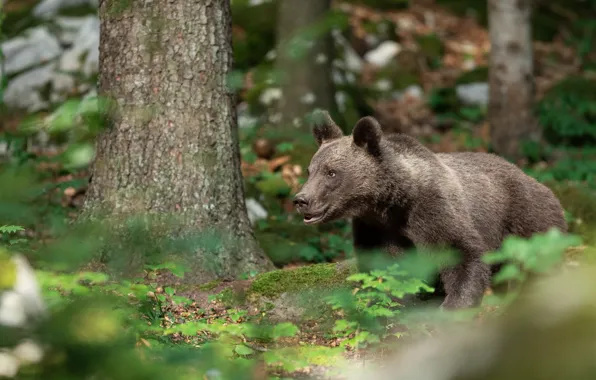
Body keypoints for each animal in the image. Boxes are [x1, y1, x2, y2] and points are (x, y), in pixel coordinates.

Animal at [294, 110, 568, 308]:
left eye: (332, 172)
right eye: (310, 170)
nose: (301, 199)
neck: (392, 202)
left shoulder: (432, 210)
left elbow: (461, 252)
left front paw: (453, 305)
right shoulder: (374, 227)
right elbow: (385, 266)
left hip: (526, 218)